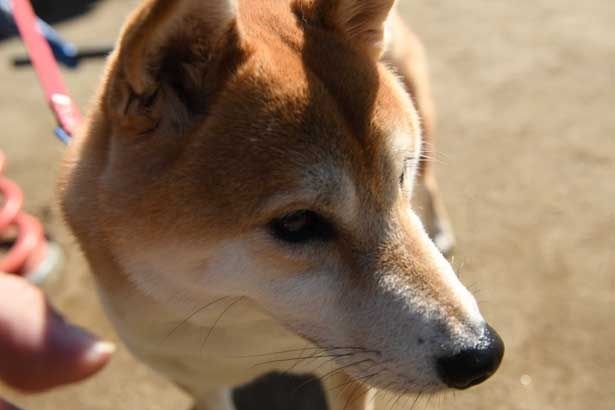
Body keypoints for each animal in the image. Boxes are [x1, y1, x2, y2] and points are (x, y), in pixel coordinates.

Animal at [59, 1, 506, 408]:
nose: (482, 355)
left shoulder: (347, 377)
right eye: (296, 223)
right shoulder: (196, 381)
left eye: (399, 178)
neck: (240, 324)